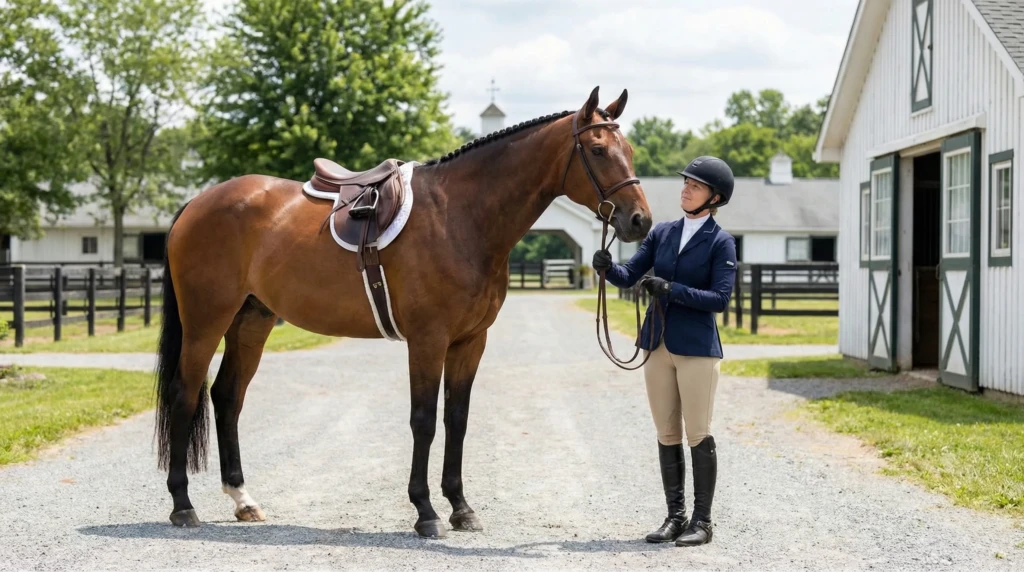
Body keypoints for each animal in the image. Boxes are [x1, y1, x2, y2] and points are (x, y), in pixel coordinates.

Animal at [154, 85, 654, 538]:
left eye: (629, 150)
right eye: (597, 150)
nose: (640, 221)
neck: (461, 217)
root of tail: (198, 202)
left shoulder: (470, 341)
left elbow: (456, 419)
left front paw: (461, 508)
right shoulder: (428, 340)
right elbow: (424, 420)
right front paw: (426, 512)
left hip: (251, 322)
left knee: (227, 397)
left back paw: (243, 500)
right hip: (205, 322)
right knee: (185, 394)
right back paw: (182, 506)